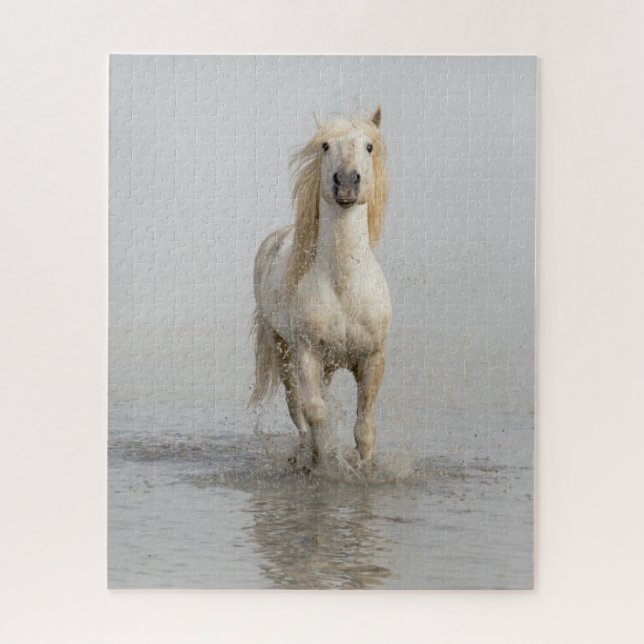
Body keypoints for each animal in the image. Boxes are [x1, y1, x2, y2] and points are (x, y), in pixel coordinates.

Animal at [250, 107, 390, 467]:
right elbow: (314, 412)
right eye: (326, 145)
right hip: (283, 349)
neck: (344, 286)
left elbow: (364, 425)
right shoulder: (307, 354)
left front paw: (363, 468)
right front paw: (322, 463)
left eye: (369, 146)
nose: (347, 182)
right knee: (296, 407)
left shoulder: (372, 357)